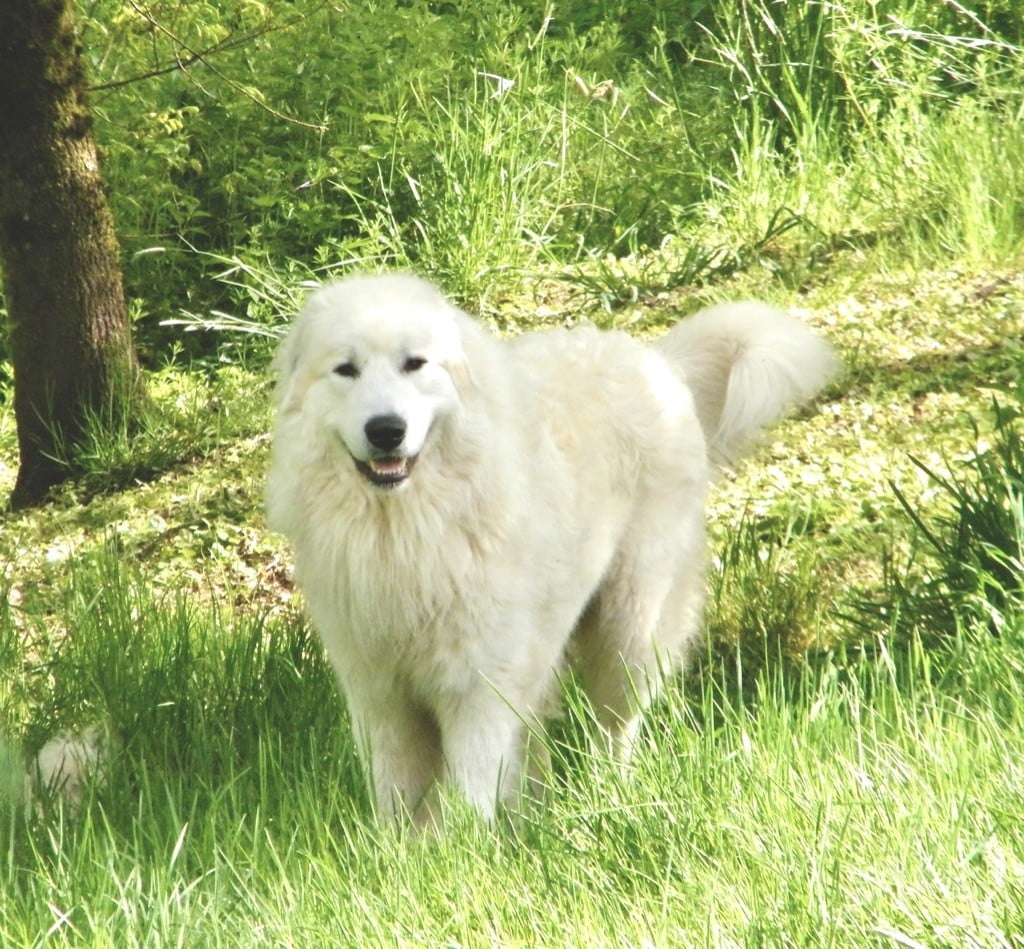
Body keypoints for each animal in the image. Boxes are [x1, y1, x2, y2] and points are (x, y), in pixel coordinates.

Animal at [268, 270, 835, 827]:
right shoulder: (382, 697)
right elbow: (397, 803)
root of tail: (657, 362)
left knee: (613, 731)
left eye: (415, 364)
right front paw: (406, 850)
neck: (407, 527)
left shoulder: (478, 688)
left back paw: (610, 802)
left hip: (629, 632)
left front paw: (460, 849)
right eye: (346, 370)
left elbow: (469, 799)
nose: (386, 430)